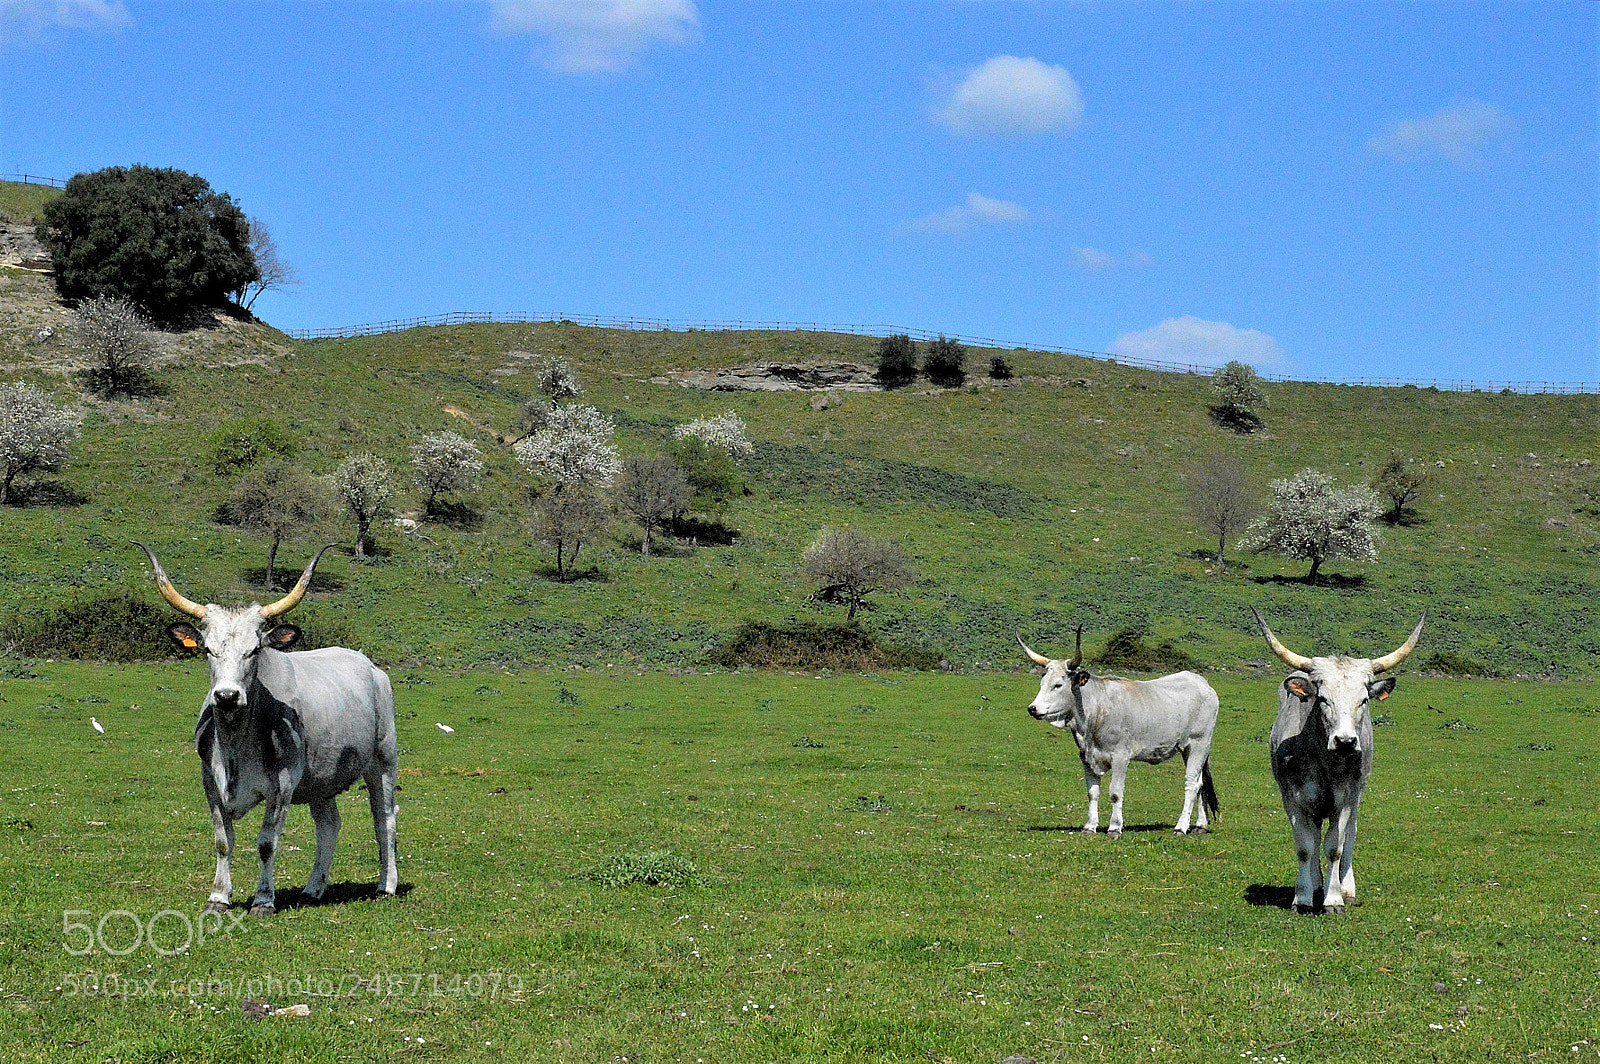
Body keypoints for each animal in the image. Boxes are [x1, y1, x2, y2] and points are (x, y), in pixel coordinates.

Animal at [135, 542, 398, 916]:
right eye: (208, 650)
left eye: (255, 650)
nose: (227, 696)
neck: (236, 743)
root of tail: (371, 666)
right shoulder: (210, 783)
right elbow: (223, 841)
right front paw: (218, 897)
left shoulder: (282, 786)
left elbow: (266, 843)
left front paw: (263, 900)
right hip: (321, 778)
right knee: (329, 824)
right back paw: (313, 889)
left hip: (383, 760)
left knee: (384, 817)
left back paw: (386, 885)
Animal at [1019, 629, 1220, 837]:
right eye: (1042, 682)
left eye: (1058, 685)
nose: (1032, 708)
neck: (1096, 710)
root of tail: (1202, 682)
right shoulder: (1086, 758)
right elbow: (1092, 792)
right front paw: (1089, 826)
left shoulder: (1120, 757)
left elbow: (1115, 793)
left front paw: (1115, 827)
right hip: (1187, 749)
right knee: (1200, 784)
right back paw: (1200, 825)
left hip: (1199, 743)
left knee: (1191, 784)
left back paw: (1181, 827)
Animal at [1251, 607, 1424, 914]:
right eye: (1322, 698)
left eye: (1364, 700)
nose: (1345, 742)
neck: (1324, 765)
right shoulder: (1293, 799)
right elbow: (1305, 847)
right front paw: (1303, 897)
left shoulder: (1345, 798)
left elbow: (1336, 847)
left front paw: (1334, 899)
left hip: (1357, 795)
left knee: (1350, 835)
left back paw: (1346, 887)